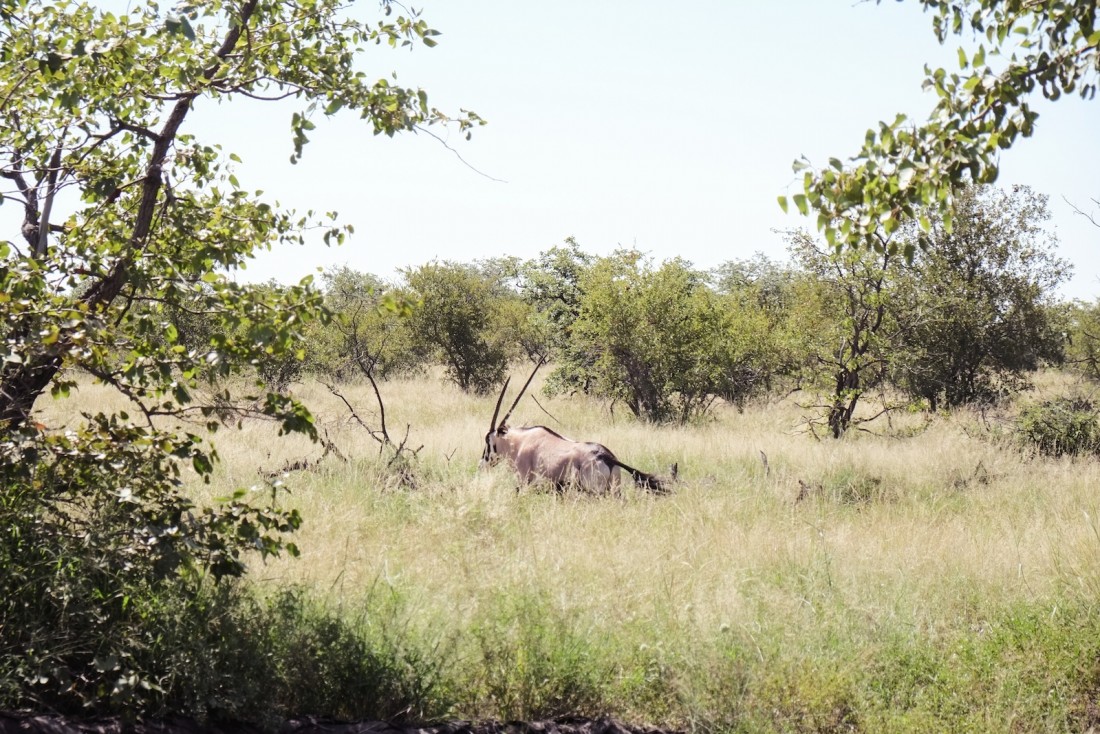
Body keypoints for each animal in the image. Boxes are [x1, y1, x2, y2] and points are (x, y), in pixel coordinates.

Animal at [484, 360, 668, 493]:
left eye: (488, 441)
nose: (483, 464)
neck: (520, 442)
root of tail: (607, 457)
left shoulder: (524, 481)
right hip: (614, 490)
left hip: (595, 492)